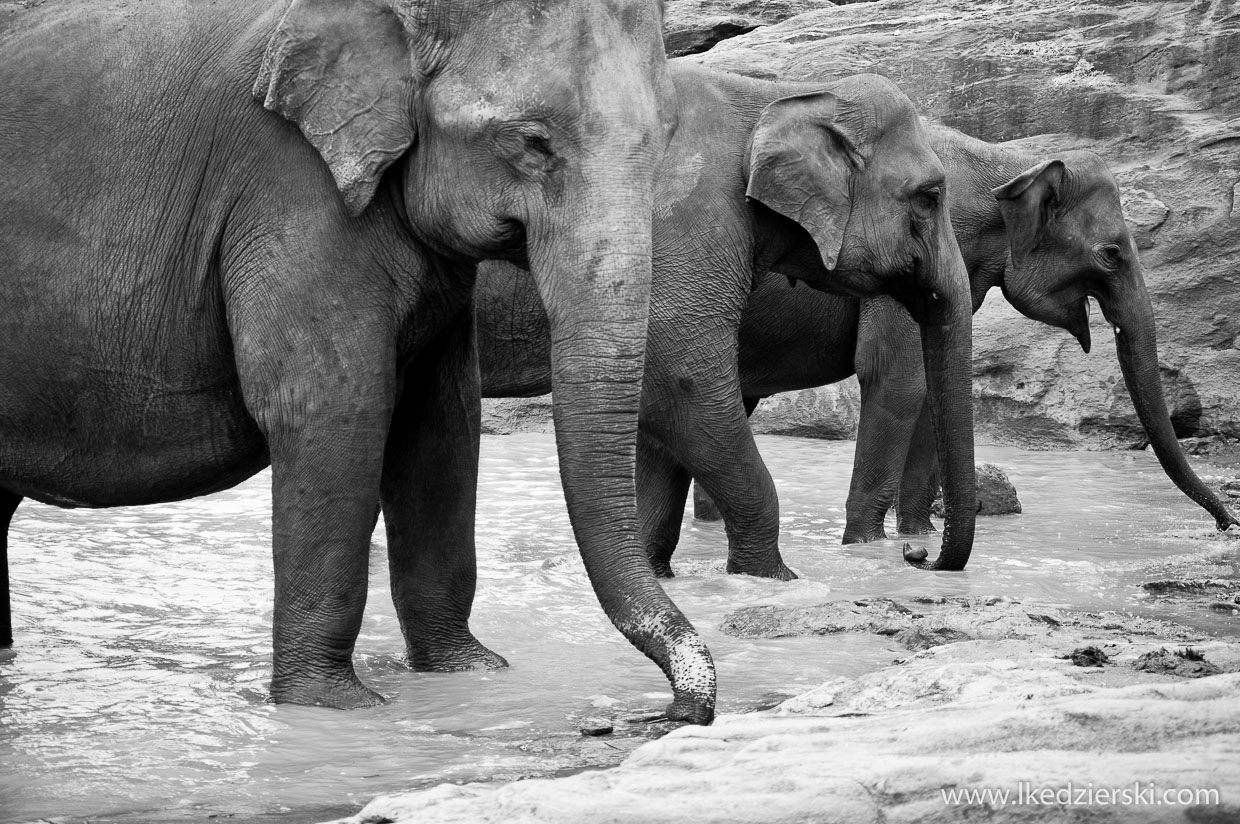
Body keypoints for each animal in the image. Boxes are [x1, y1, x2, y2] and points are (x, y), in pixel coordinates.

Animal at [0, 0, 719, 718]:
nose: (676, 710)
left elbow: (441, 423)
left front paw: (471, 672)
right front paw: (334, 706)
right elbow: (332, 408)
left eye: (664, 139)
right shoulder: (291, 189)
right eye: (531, 142)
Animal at [473, 62, 977, 577]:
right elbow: (680, 376)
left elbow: (657, 405)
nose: (916, 554)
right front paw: (774, 578)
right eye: (930, 196)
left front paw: (661, 573)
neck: (779, 94)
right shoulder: (686, 223)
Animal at [664, 123, 1240, 572]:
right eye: (1112, 253)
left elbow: (930, 388)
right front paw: (871, 550)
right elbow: (898, 378)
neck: (1007, 161)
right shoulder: (899, 257)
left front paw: (913, 537)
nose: (1225, 525)